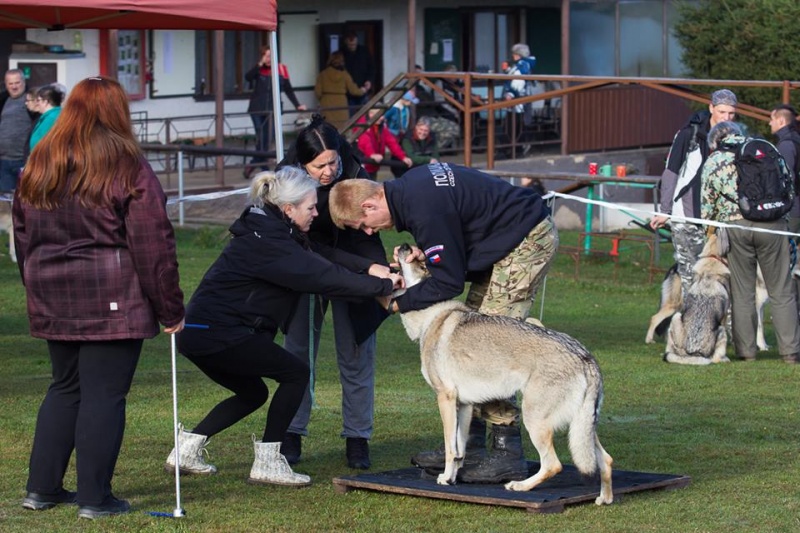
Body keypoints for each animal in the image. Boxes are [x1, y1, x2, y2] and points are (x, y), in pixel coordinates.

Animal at [394, 243, 612, 504]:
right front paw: (454, 478)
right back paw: (604, 499)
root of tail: (585, 357)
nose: (405, 245)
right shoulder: (464, 405)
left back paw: (519, 486)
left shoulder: (445, 398)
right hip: (582, 428)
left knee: (553, 465)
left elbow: (450, 448)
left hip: (534, 420)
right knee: (606, 460)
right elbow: (460, 450)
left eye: (422, 264)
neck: (431, 316)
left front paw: (445, 479)